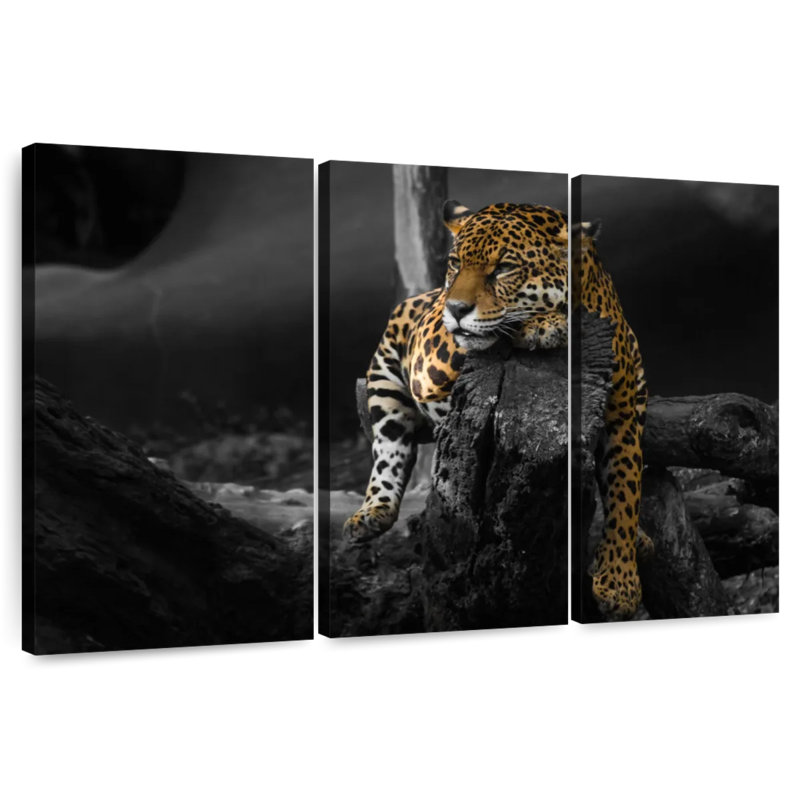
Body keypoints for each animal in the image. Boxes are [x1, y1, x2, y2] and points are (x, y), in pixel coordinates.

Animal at [343, 200, 569, 541]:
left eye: (503, 268)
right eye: (455, 264)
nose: (457, 307)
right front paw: (544, 324)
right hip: (385, 380)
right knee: (390, 449)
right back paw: (371, 513)